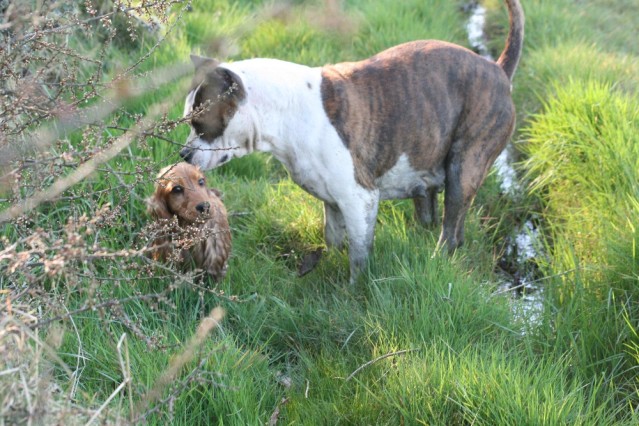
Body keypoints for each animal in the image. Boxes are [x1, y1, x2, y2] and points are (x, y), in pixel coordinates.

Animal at [180, 0, 524, 282]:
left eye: (200, 124)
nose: (183, 154)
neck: (287, 109)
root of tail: (497, 69)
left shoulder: (360, 200)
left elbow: (359, 257)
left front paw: (353, 290)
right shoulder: (332, 202)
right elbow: (333, 239)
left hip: (463, 169)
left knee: (450, 230)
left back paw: (438, 258)